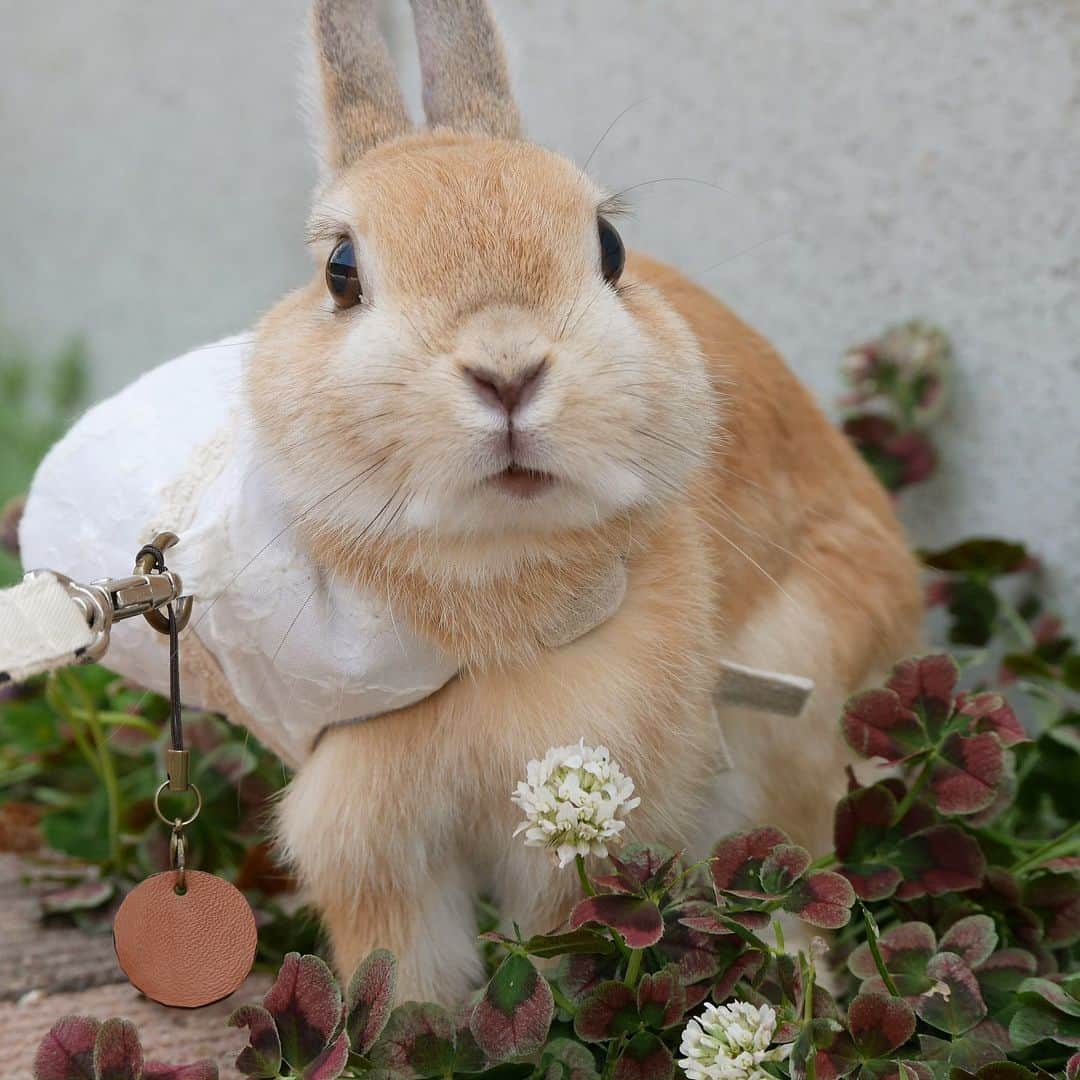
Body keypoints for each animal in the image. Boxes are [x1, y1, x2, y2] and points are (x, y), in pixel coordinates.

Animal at [252, 4, 920, 1006]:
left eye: (608, 249)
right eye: (340, 271)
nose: (508, 370)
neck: (493, 569)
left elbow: (557, 942)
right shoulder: (374, 837)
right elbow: (405, 969)